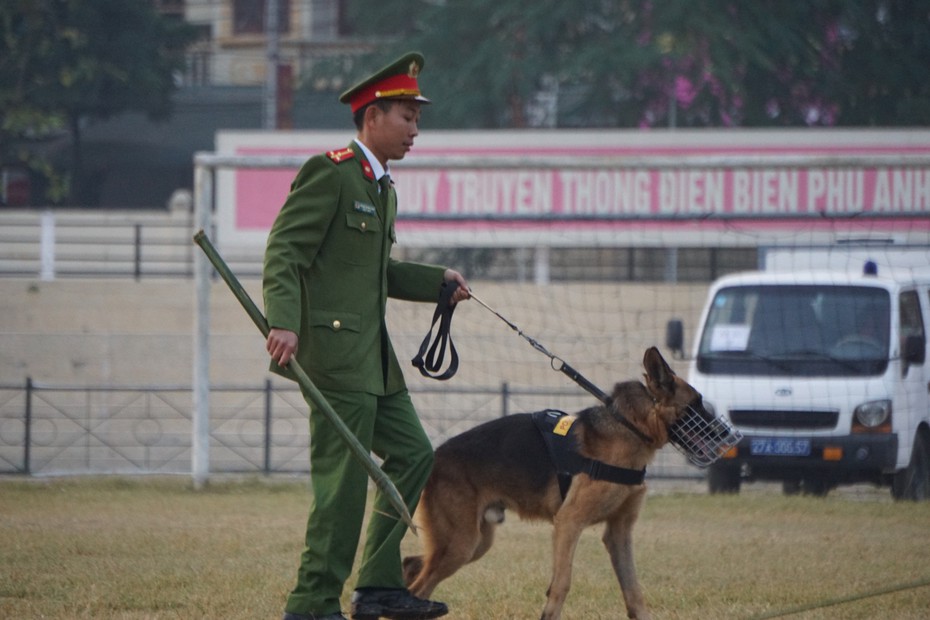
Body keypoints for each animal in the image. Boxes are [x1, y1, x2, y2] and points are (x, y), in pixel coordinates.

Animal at [400, 348, 712, 620]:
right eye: (696, 404)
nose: (722, 435)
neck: (629, 426)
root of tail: (436, 455)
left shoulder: (619, 533)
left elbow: (634, 591)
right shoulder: (568, 523)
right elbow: (562, 583)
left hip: (474, 543)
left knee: (412, 566)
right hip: (461, 544)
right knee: (419, 587)